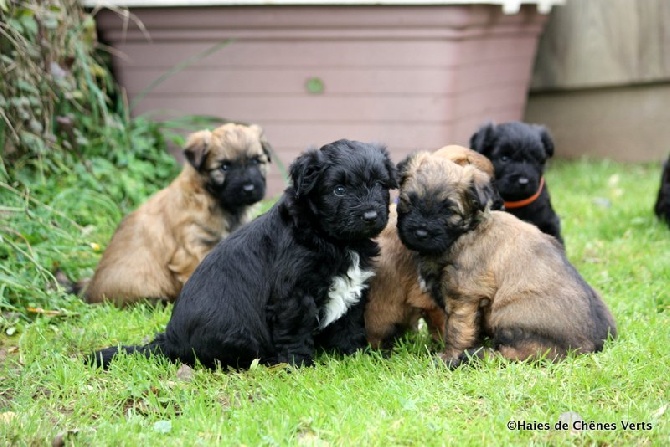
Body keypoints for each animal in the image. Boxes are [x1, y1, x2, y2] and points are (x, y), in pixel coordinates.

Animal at [92, 141, 402, 372]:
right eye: (338, 189)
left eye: (379, 185)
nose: (371, 215)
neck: (330, 238)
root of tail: (168, 341)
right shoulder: (292, 295)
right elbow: (295, 332)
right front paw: (300, 366)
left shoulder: (353, 287)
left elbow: (349, 323)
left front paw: (356, 355)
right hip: (239, 334)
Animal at [394, 152, 620, 370]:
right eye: (408, 202)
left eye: (449, 210)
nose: (421, 233)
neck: (465, 233)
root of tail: (592, 345)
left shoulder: (464, 297)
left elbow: (457, 329)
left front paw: (449, 358)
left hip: (510, 312)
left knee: (525, 353)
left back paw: (477, 355)